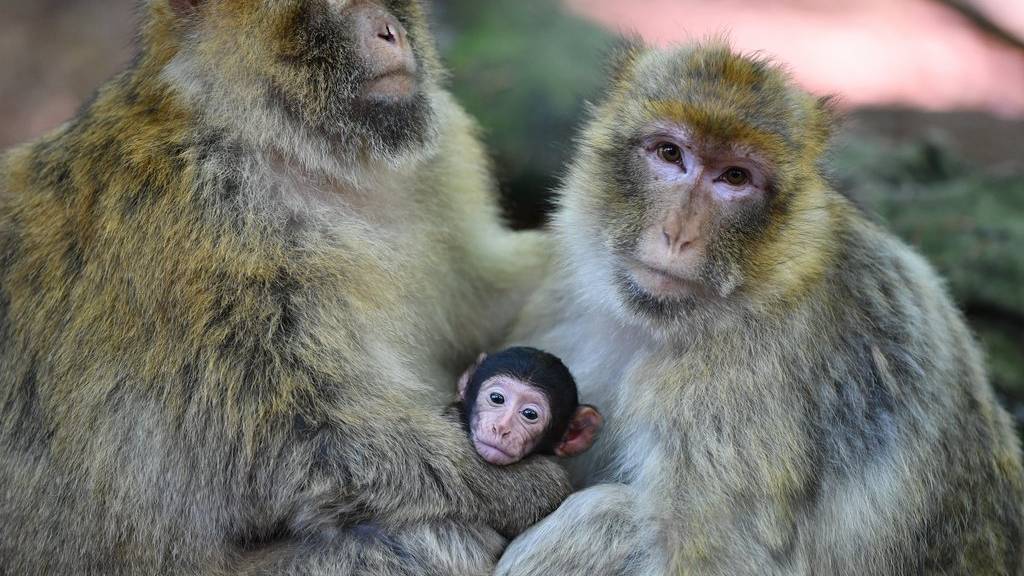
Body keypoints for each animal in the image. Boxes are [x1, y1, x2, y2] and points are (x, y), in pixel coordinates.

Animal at [0, 1, 569, 573]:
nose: (390, 30)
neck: (292, 151)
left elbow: (486, 299)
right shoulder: (207, 230)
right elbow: (292, 441)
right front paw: (516, 487)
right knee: (433, 537)